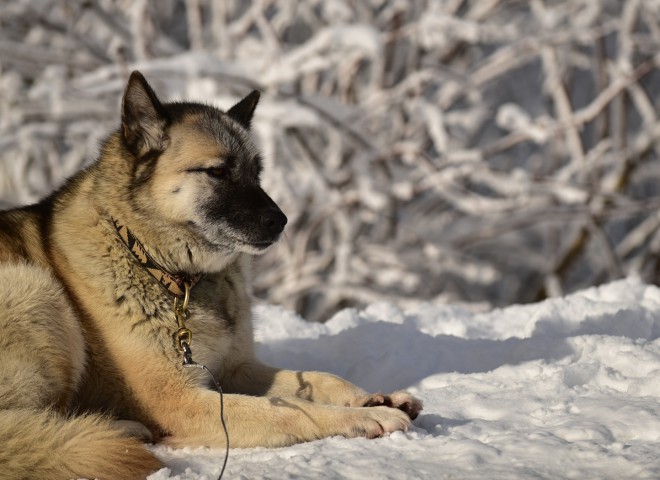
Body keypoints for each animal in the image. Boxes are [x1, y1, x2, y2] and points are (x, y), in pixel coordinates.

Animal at [0, 72, 422, 480]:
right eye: (218, 171)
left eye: (257, 173)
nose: (281, 221)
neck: (164, 270)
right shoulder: (181, 400)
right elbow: (285, 409)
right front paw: (364, 416)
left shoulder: (236, 370)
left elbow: (318, 379)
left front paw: (370, 397)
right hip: (36, 288)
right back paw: (120, 430)